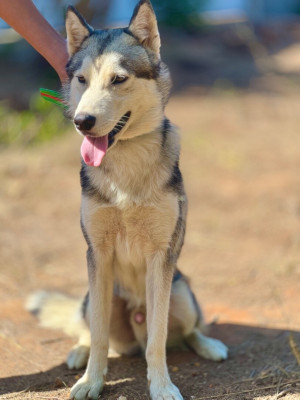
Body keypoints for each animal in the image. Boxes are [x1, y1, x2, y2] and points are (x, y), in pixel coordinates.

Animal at [27, 1, 227, 398]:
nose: (82, 121)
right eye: (81, 80)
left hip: (181, 293)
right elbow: (100, 336)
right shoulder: (98, 255)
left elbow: (157, 338)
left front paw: (162, 386)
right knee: (87, 328)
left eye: (118, 79)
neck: (126, 166)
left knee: (190, 329)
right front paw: (91, 381)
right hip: (93, 297)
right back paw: (78, 352)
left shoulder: (161, 257)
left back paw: (209, 346)